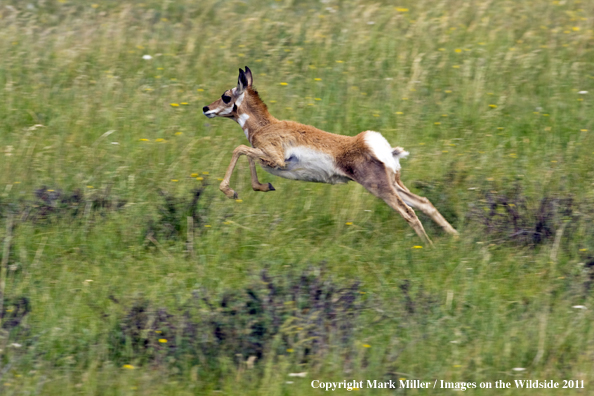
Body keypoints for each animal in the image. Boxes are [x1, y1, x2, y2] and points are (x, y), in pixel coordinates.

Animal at [201, 66, 456, 243]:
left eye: (226, 96)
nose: (205, 108)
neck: (266, 125)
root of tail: (376, 146)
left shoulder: (274, 158)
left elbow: (240, 150)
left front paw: (230, 191)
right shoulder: (265, 157)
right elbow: (248, 157)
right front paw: (263, 187)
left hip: (380, 189)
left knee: (409, 212)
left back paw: (429, 247)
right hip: (394, 185)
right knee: (424, 203)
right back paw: (454, 237)